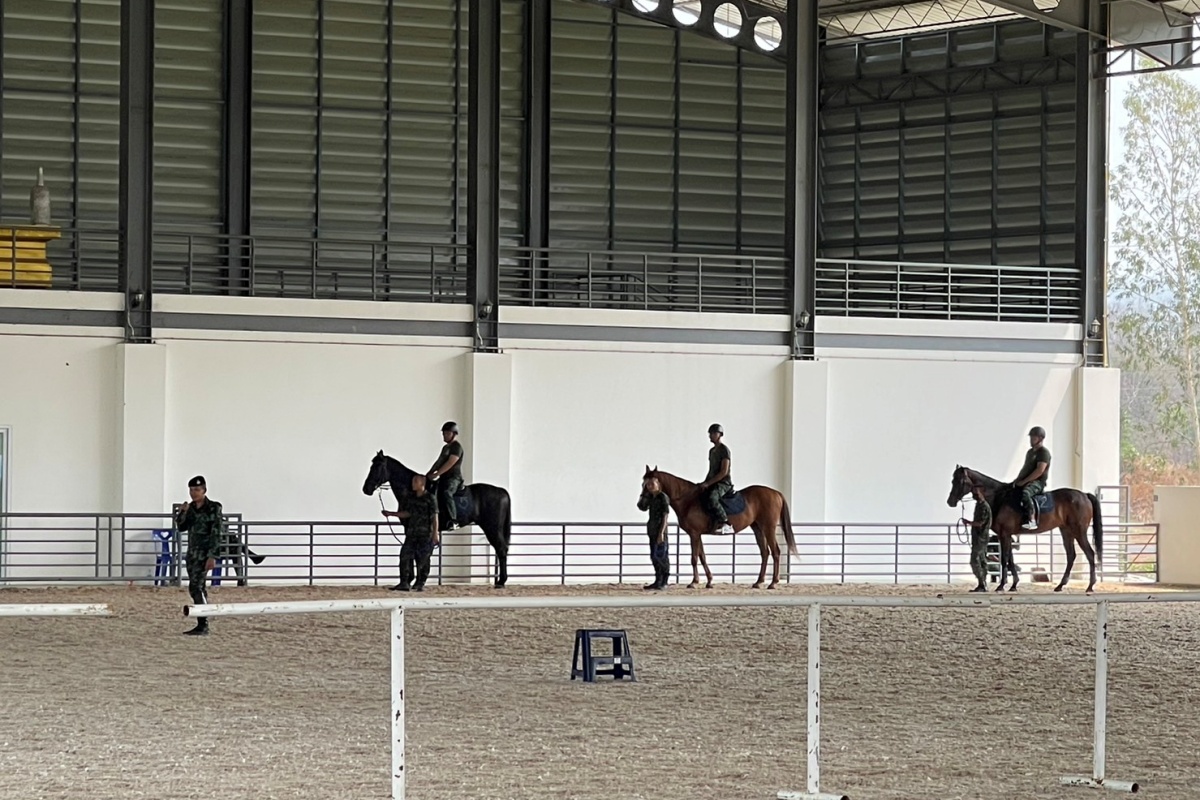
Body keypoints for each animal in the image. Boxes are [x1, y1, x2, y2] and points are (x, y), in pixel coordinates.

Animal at [363, 450, 513, 588]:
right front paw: (409, 581)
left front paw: (412, 581)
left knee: (501, 549)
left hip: (492, 528)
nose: (366, 489)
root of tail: (502, 491)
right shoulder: (410, 529)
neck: (414, 491)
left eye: (377, 466)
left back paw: (501, 582)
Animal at [641, 466, 797, 589]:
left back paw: (773, 583)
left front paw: (694, 582)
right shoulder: (697, 534)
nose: (640, 504)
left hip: (768, 528)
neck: (688, 499)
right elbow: (702, 557)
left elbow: (694, 558)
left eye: (648, 484)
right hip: (757, 528)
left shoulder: (694, 534)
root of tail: (776, 493)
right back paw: (759, 582)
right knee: (765, 553)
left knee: (775, 552)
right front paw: (709, 581)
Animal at [946, 465, 1103, 593]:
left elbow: (1004, 559)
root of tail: (1084, 495)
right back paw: (1060, 586)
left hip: (1079, 531)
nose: (950, 502)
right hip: (1066, 531)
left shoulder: (1005, 534)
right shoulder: (1007, 535)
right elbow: (1010, 559)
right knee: (1071, 555)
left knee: (1090, 554)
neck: (1000, 498)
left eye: (959, 481)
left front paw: (1001, 585)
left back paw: (1090, 586)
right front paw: (1013, 585)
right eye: (952, 480)